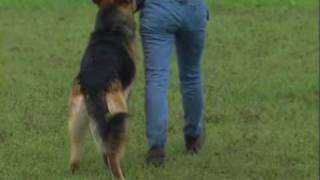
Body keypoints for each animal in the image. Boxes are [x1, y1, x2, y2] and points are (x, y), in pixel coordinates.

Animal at [67, 0, 138, 179]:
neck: (108, 28)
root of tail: (94, 83)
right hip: (118, 114)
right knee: (112, 153)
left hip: (78, 118)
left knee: (77, 145)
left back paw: (74, 169)